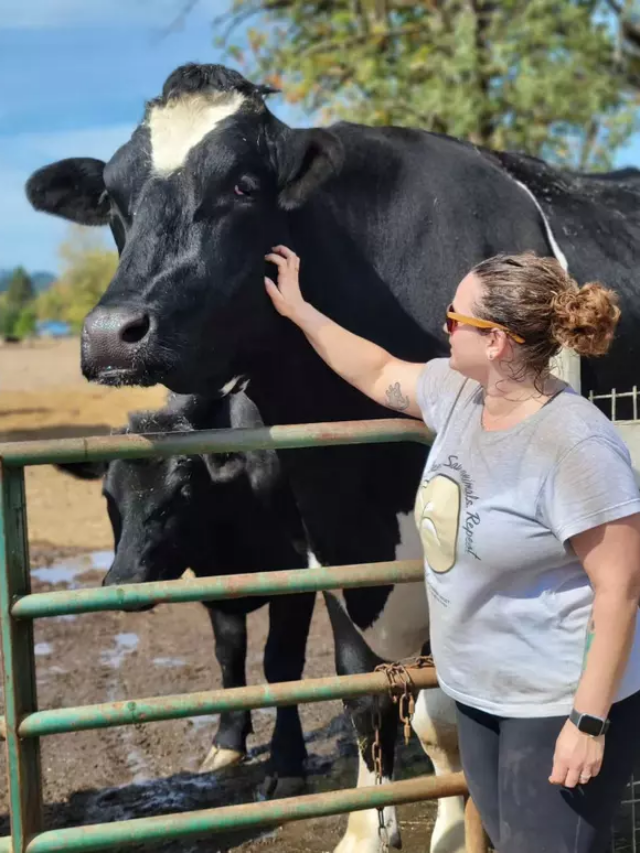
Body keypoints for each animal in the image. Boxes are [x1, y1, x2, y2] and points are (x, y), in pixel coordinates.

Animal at [57, 390, 316, 796]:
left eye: (183, 492)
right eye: (107, 494)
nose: (125, 579)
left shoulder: (298, 576)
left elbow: (281, 665)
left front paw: (287, 762)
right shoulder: (217, 588)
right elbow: (229, 656)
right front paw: (227, 742)